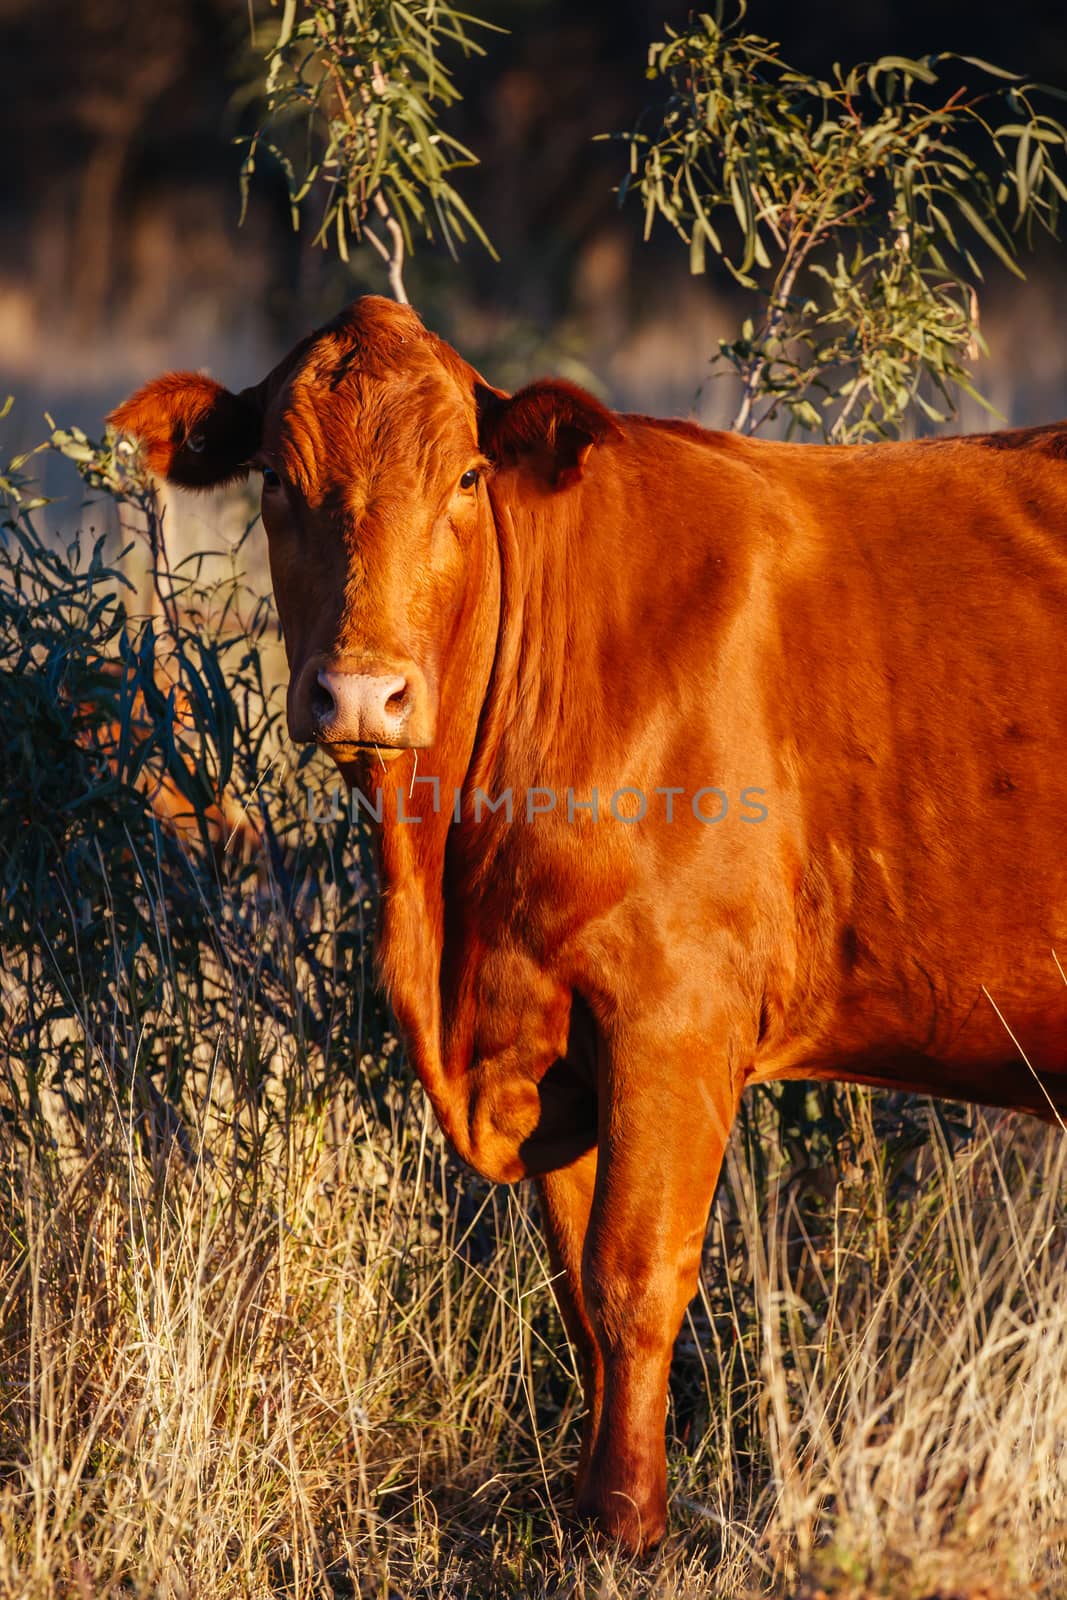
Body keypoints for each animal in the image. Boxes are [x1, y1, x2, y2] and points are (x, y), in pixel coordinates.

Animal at [108, 297, 1067, 1548]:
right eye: (273, 476)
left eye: (467, 476)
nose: (362, 692)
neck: (443, 887)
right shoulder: (555, 1036)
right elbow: (574, 1287)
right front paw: (592, 1505)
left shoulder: (676, 1011)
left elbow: (632, 1275)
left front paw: (622, 1526)